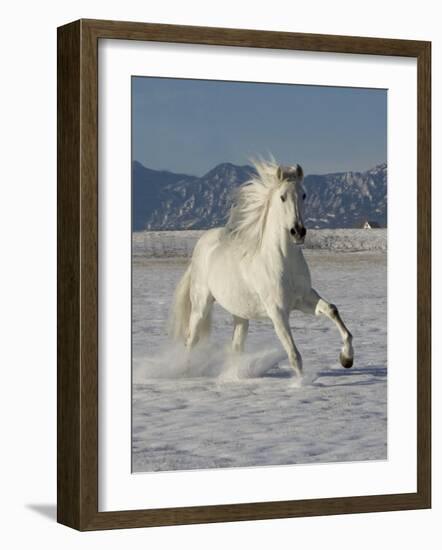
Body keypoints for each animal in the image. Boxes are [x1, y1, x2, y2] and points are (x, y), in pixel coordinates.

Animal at [171, 160, 354, 384]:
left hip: (240, 312)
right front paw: (301, 384)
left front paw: (346, 359)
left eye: (303, 195)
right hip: (201, 304)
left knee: (236, 346)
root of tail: (202, 244)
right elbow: (294, 355)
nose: (298, 232)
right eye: (282, 196)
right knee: (191, 338)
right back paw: (186, 372)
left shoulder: (304, 299)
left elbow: (332, 310)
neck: (283, 261)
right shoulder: (277, 312)